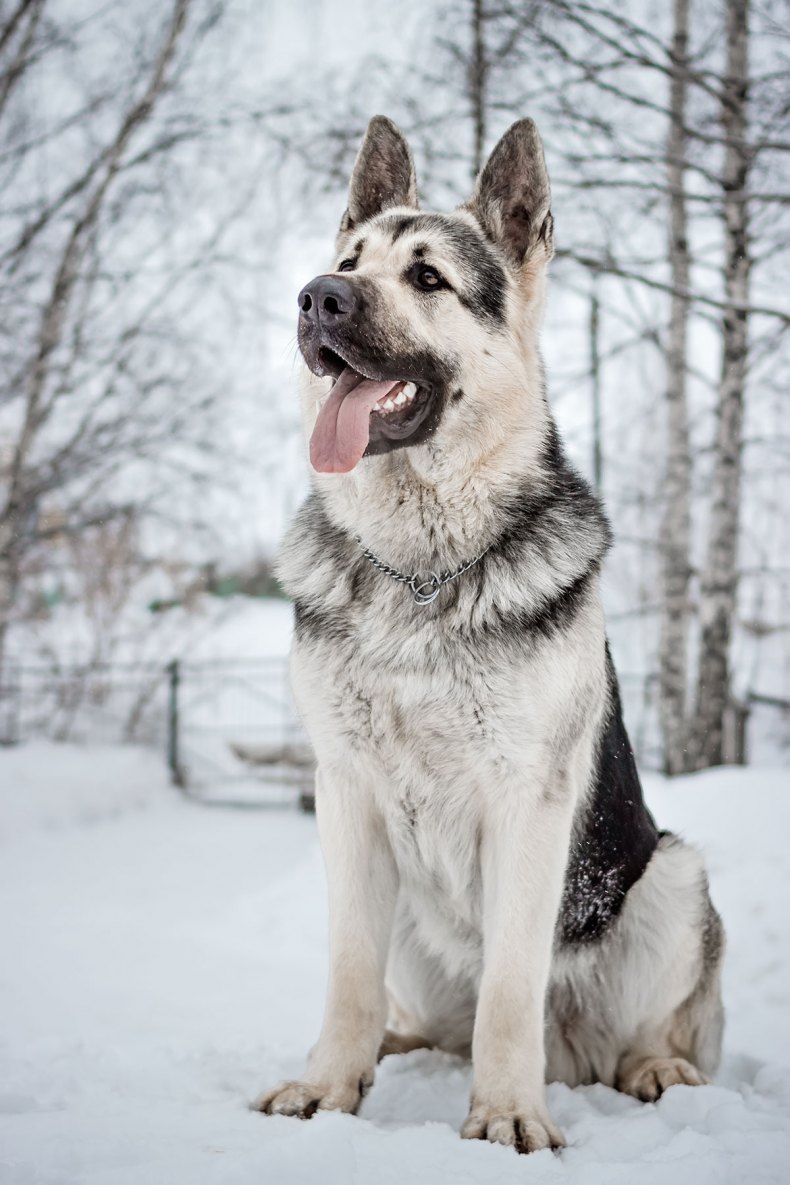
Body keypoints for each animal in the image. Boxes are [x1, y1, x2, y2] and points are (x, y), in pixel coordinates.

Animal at [257, 115, 724, 1151]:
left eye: (428, 278)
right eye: (348, 263)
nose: (317, 297)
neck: (422, 574)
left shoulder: (528, 804)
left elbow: (511, 988)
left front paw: (508, 1111)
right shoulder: (345, 796)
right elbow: (346, 974)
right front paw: (328, 1086)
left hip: (673, 872)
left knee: (651, 1028)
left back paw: (652, 1067)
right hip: (412, 922)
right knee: (428, 1021)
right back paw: (393, 1050)